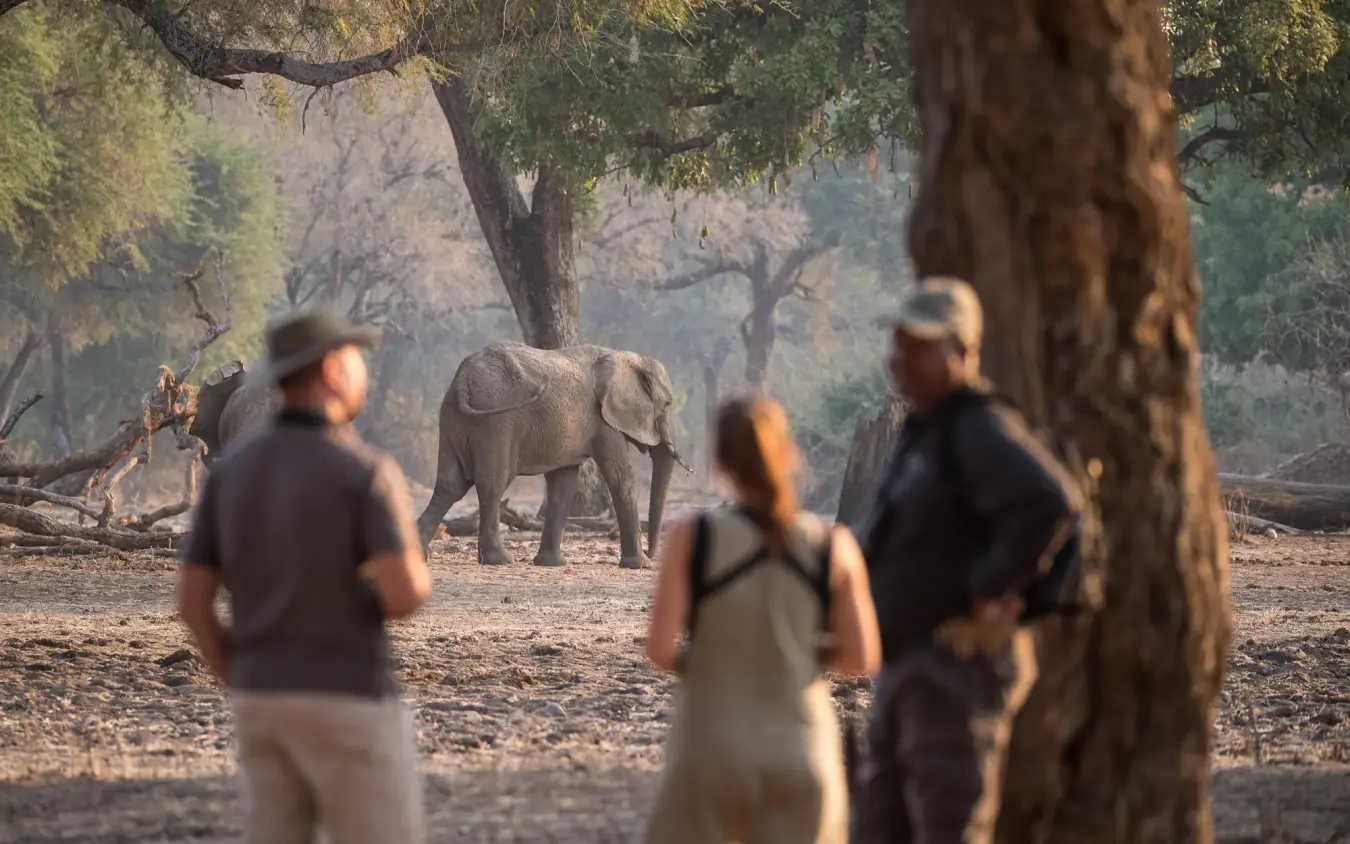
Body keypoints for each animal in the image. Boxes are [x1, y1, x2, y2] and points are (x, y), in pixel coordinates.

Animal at [415, 341, 690, 570]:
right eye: (667, 405)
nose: (652, 552)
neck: (623, 356)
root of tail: (463, 381)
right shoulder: (603, 421)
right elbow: (621, 479)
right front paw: (640, 565)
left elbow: (563, 485)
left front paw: (551, 563)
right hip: (495, 424)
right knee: (492, 485)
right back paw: (499, 560)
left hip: (452, 420)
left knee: (450, 485)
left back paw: (418, 555)